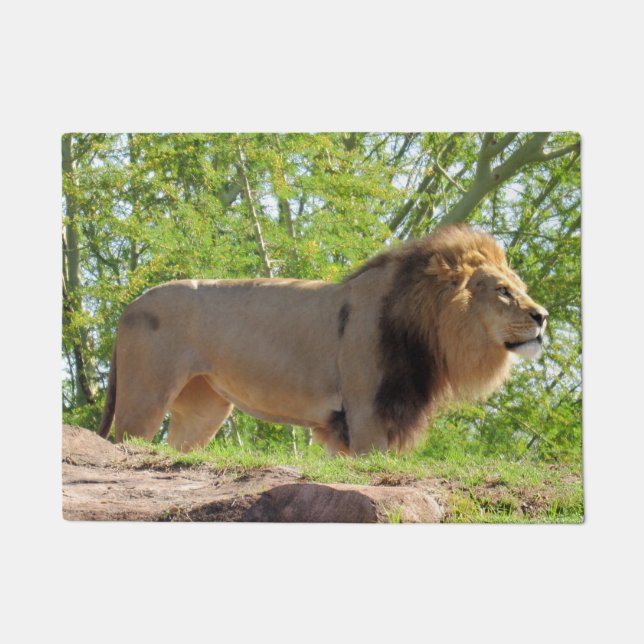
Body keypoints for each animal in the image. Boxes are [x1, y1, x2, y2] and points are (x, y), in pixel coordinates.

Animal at [98, 224, 548, 454]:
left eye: (520, 288)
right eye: (503, 291)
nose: (543, 317)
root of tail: (131, 303)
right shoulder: (366, 415)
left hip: (203, 408)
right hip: (143, 401)